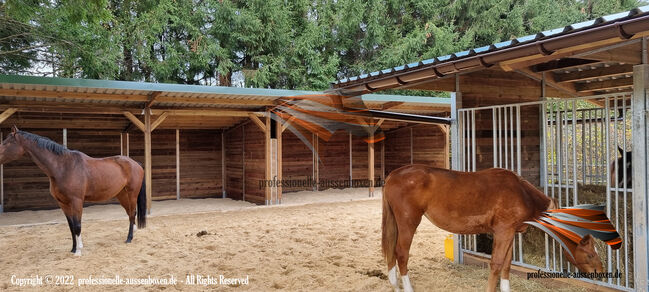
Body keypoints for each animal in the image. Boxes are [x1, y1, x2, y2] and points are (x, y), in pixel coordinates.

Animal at [0, 127, 146, 256]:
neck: (63, 167)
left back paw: (129, 238)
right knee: (130, 213)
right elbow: (71, 227)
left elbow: (77, 226)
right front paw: (73, 249)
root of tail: (136, 163)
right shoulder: (63, 203)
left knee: (132, 213)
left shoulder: (76, 201)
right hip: (121, 195)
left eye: (6, 142)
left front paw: (79, 251)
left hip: (132, 194)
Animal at [382, 167, 600, 292]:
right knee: (401, 253)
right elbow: (496, 264)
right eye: (590, 253)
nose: (599, 272)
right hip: (409, 223)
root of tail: (393, 174)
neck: (522, 193)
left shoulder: (510, 234)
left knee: (392, 252)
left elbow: (506, 265)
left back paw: (394, 285)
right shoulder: (503, 232)